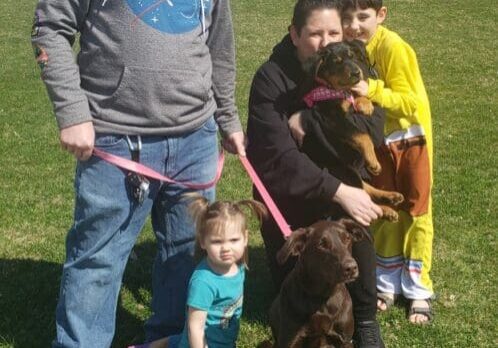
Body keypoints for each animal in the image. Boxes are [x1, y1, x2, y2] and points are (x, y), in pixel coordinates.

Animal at [302, 40, 402, 220]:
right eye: (337, 62)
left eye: (352, 56)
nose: (357, 72)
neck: (331, 88)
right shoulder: (333, 118)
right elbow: (362, 135)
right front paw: (373, 162)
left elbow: (356, 94)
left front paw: (365, 103)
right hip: (344, 171)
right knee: (361, 202)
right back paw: (385, 209)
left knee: (365, 189)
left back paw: (391, 198)